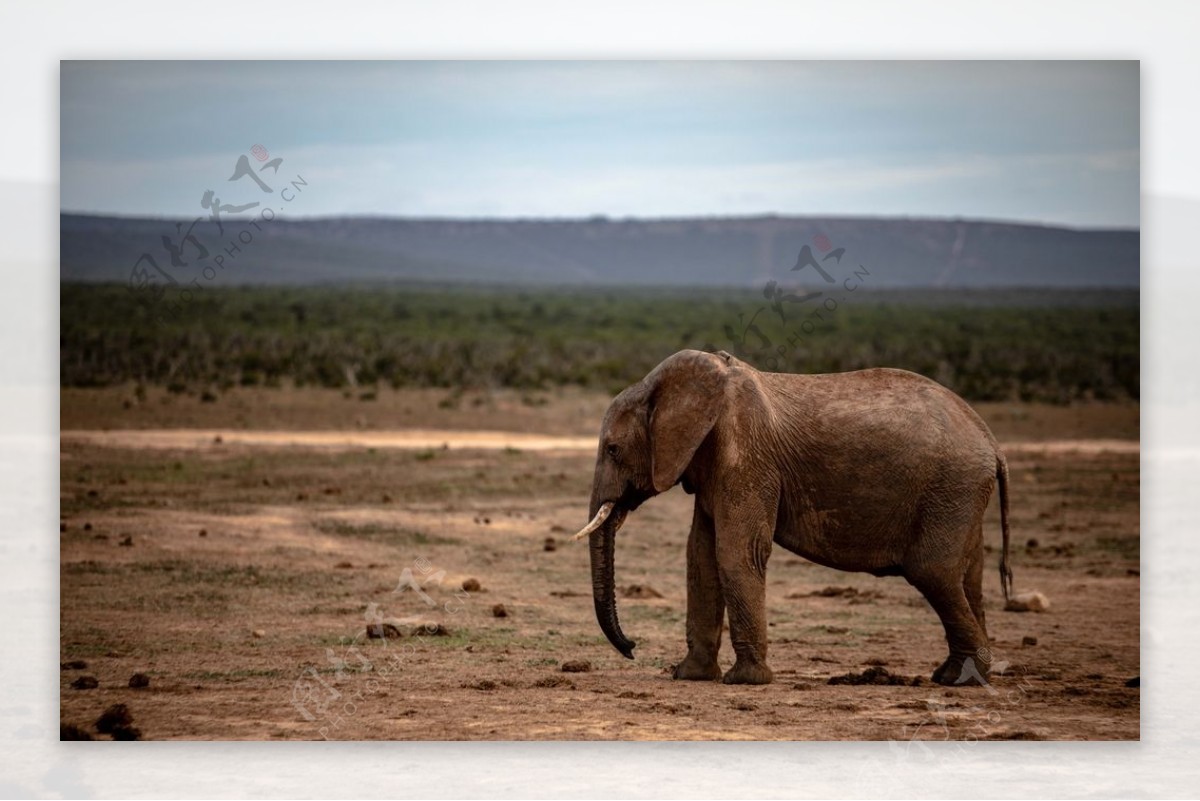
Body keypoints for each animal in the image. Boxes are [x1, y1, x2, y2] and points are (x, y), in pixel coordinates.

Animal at [571, 350, 1012, 690]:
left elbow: (736, 552)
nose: (632, 649)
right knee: (969, 578)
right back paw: (955, 675)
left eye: (612, 449)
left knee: (933, 572)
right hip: (960, 496)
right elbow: (700, 557)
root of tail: (992, 441)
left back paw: (963, 680)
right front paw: (689, 676)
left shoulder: (746, 456)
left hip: (951, 488)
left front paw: (744, 681)